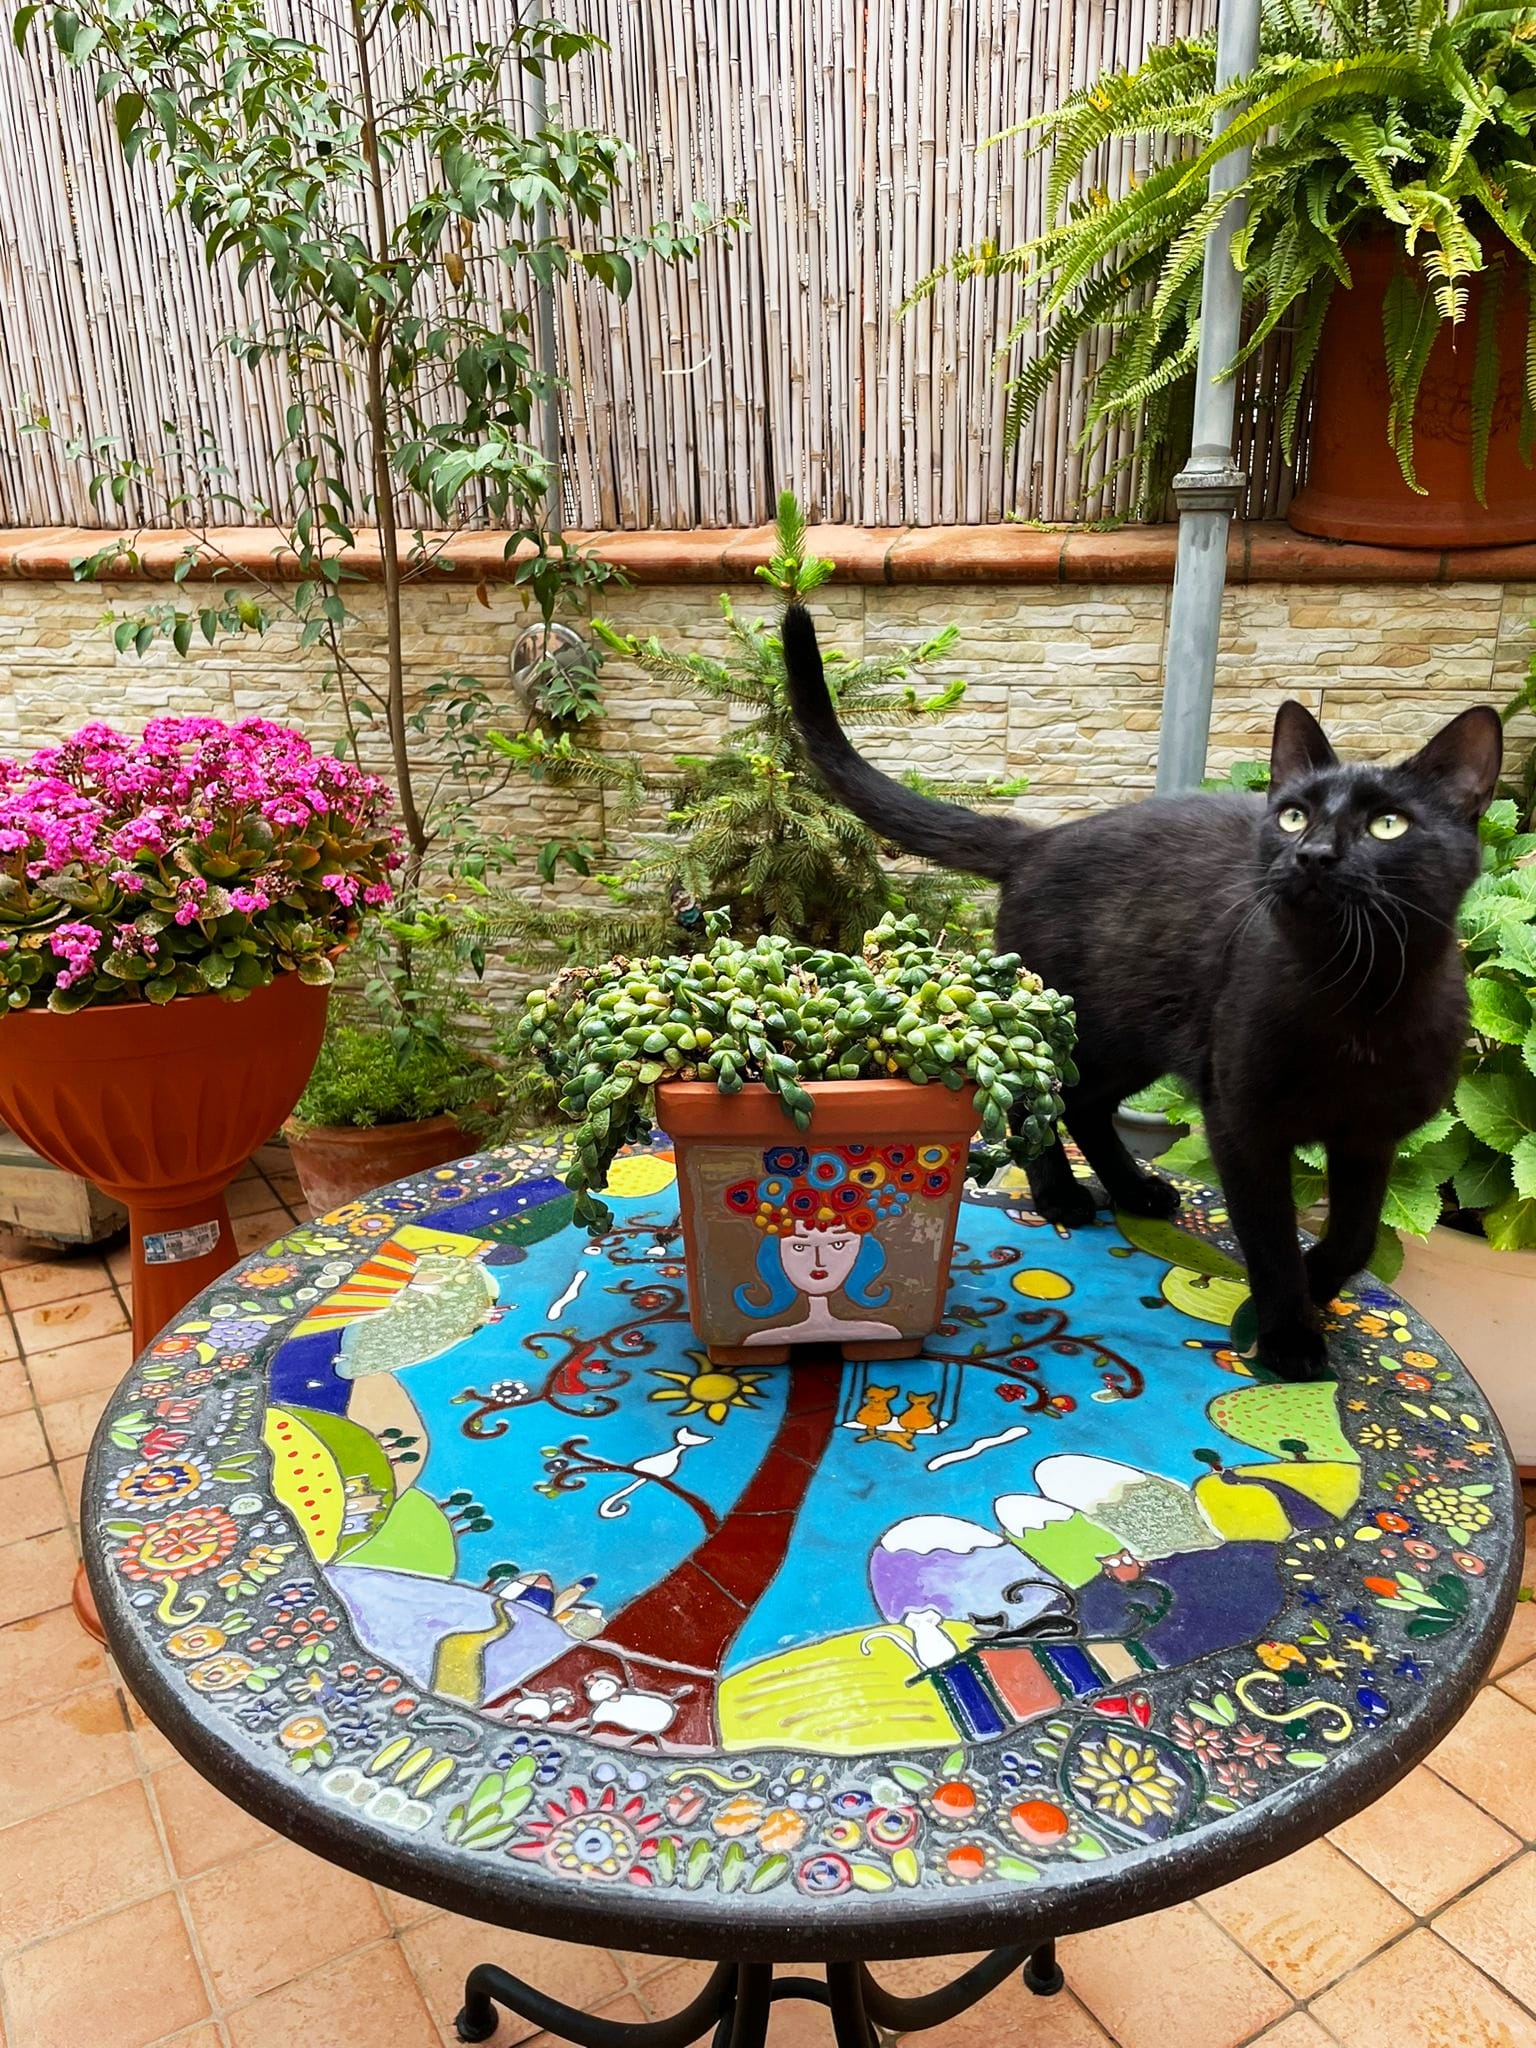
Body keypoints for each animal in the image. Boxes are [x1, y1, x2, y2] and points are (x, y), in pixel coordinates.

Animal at [781, 601, 1501, 1384]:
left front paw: (1317, 1287)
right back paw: (1062, 1195)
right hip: (1087, 1027)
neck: (1355, 997)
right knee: (1046, 1104)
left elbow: (1358, 1234)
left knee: (1086, 1106)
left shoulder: (1373, 1138)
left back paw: (1133, 1189)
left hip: (1135, 1039)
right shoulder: (1241, 1122)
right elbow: (1271, 1235)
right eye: (1293, 816)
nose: (1311, 854)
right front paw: (1289, 1331)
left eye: (1387, 825)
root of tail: (1041, 841)